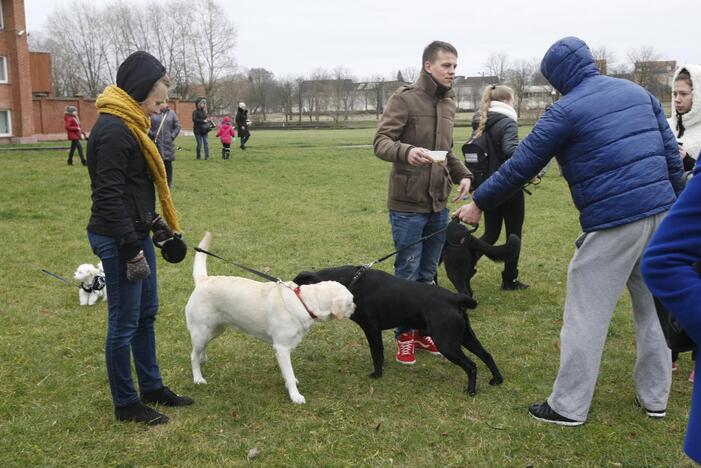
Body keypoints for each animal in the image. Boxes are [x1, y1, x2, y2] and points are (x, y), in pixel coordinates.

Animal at [185, 232, 356, 404]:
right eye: (350, 302)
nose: (356, 307)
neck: (304, 302)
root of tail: (203, 280)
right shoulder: (282, 347)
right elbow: (289, 373)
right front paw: (295, 396)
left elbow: (288, 374)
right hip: (202, 331)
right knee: (193, 355)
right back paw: (198, 378)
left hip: (214, 329)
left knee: (201, 349)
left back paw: (203, 359)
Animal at [292, 266, 504, 394]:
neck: (349, 284)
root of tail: (454, 298)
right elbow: (380, 352)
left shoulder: (371, 328)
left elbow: (376, 353)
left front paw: (377, 374)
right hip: (465, 337)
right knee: (486, 355)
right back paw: (497, 380)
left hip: (447, 343)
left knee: (471, 365)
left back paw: (471, 391)